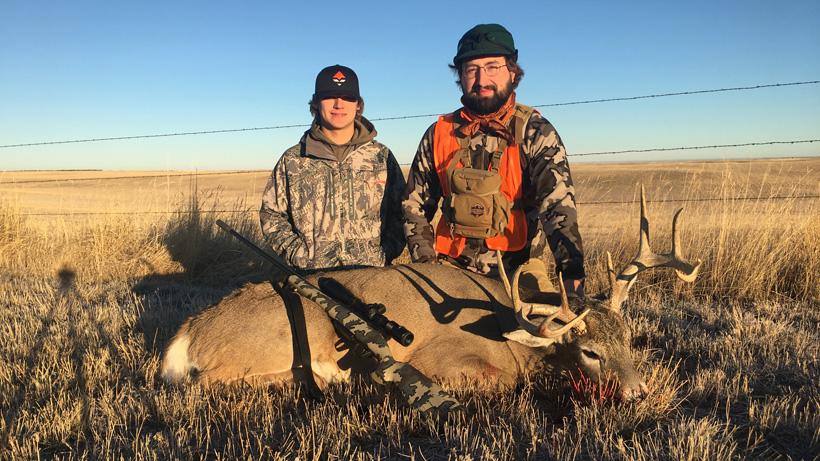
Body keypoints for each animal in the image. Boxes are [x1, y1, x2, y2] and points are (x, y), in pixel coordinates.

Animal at [161, 187, 701, 402]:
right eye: (590, 351)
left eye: (629, 340)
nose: (639, 390)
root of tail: (187, 333)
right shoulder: (441, 359)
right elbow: (503, 381)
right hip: (291, 331)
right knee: (210, 381)